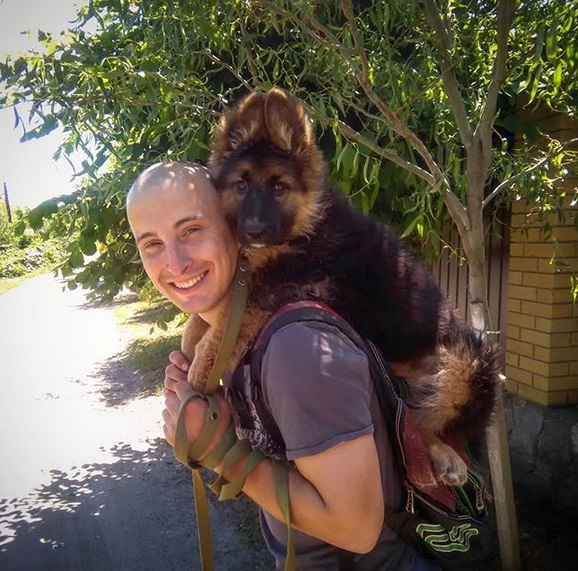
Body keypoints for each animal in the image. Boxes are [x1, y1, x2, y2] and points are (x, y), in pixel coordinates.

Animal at [182, 87, 498, 484]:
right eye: (241, 185)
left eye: (279, 187)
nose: (253, 231)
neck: (307, 222)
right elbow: (212, 313)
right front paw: (192, 337)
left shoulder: (279, 283)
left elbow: (228, 320)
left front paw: (202, 364)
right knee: (414, 414)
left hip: (470, 361)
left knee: (425, 424)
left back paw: (446, 459)